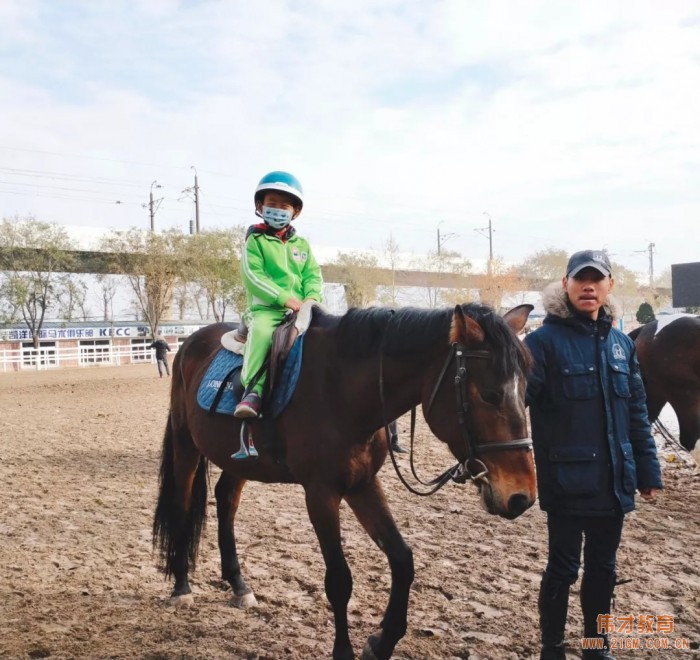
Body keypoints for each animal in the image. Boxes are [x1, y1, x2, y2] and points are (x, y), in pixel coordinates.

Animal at [153, 302, 536, 656]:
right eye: (489, 395)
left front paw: (382, 641)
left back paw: (238, 585)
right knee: (182, 506)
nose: (522, 496)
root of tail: (191, 343)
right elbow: (339, 579)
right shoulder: (320, 494)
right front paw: (345, 650)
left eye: (525, 393)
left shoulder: (362, 484)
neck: (342, 390)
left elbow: (402, 559)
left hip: (240, 460)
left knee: (226, 501)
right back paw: (182, 587)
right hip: (185, 445)